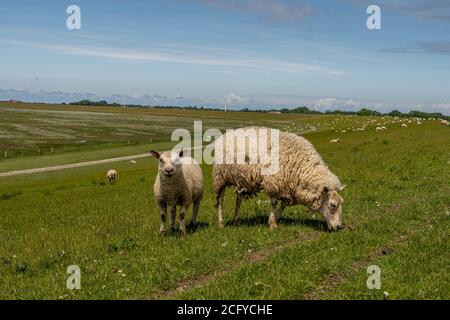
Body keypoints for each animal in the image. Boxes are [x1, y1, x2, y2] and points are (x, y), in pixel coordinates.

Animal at [213, 126, 346, 231]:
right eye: (333, 205)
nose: (339, 227)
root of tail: (225, 135)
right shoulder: (273, 182)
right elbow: (274, 203)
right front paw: (272, 224)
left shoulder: (287, 186)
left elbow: (283, 205)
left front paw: (276, 219)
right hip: (220, 177)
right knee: (220, 200)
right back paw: (220, 223)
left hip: (242, 179)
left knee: (239, 198)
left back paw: (236, 221)